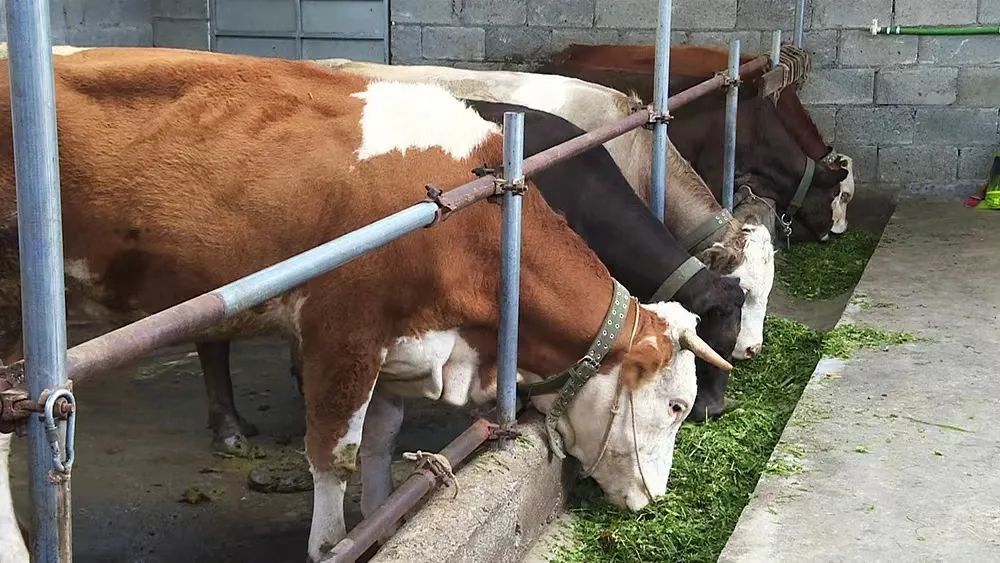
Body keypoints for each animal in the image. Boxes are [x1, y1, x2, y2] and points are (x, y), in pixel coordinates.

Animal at [0, 47, 728, 560]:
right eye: (676, 404)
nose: (654, 500)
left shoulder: (405, 342)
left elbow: (380, 445)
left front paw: (381, 522)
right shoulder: (341, 332)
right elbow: (336, 454)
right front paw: (333, 543)